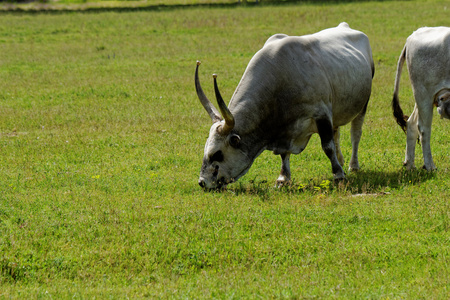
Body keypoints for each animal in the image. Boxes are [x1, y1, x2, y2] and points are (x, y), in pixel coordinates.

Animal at [195, 22, 374, 189]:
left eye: (217, 154)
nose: (202, 182)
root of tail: (344, 26)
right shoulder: (287, 130)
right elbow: (284, 154)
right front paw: (283, 178)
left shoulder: (321, 114)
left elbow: (327, 146)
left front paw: (338, 174)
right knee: (336, 132)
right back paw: (341, 160)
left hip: (363, 105)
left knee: (355, 134)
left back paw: (353, 165)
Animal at [390, 26, 450, 171]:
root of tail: (413, 35)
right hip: (424, 95)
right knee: (423, 129)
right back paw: (429, 165)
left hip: (422, 97)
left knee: (411, 123)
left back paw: (410, 164)